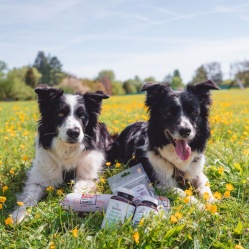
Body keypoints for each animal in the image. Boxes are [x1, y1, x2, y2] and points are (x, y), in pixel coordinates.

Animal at [11, 84, 113, 223]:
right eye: (60, 113)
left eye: (82, 116)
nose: (74, 132)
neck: (67, 151)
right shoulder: (38, 179)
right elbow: (28, 197)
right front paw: (19, 214)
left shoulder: (86, 177)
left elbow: (78, 191)